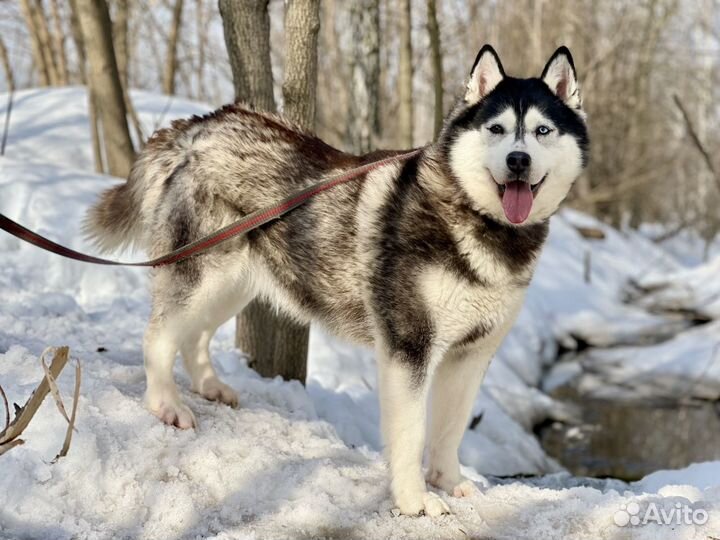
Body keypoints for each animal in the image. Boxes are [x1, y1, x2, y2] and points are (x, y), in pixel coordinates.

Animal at [87, 46, 588, 516]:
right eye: (497, 129)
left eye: (542, 131)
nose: (518, 160)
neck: (479, 221)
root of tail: (199, 126)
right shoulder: (410, 348)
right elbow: (412, 433)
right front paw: (415, 500)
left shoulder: (471, 354)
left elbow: (450, 429)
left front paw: (448, 481)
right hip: (201, 274)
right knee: (158, 336)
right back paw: (166, 404)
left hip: (234, 285)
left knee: (195, 336)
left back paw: (210, 386)